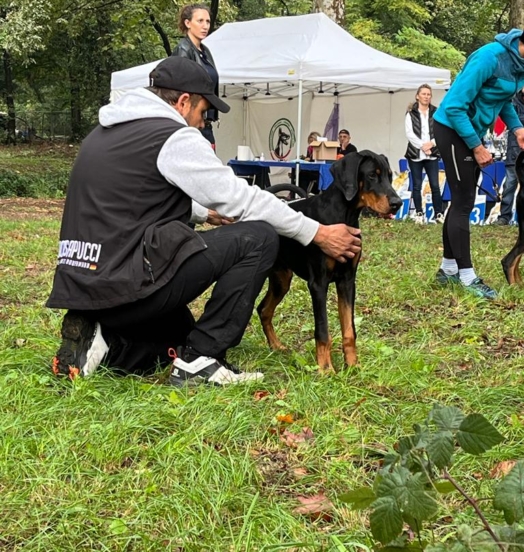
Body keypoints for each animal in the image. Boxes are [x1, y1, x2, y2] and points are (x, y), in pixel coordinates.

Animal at [256, 151, 402, 374]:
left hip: (281, 278)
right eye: (371, 175)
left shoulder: (347, 281)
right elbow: (323, 330)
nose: (398, 203)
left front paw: (353, 365)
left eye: (389, 175)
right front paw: (325, 369)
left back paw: (276, 346)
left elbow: (349, 329)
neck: (344, 216)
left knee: (263, 310)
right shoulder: (318, 283)